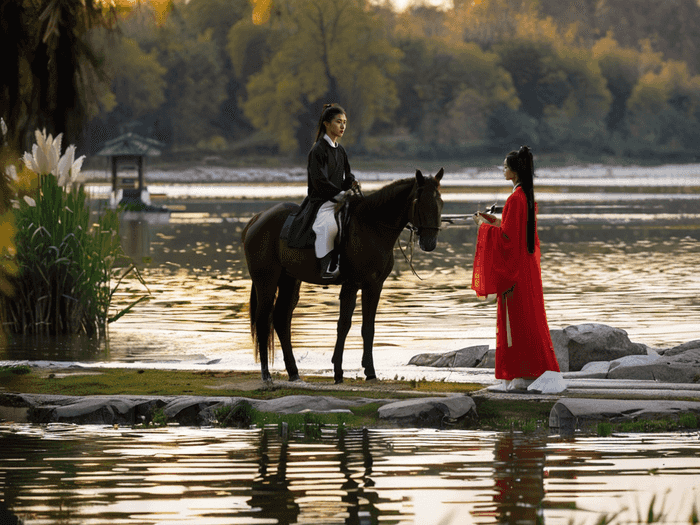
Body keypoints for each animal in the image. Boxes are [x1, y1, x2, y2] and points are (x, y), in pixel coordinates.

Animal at [241, 170, 442, 382]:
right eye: (419, 201)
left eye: (440, 201)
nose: (430, 243)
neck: (371, 226)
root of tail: (257, 218)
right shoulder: (351, 285)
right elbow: (344, 325)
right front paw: (338, 371)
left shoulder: (374, 286)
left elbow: (368, 328)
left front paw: (370, 371)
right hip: (267, 282)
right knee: (263, 320)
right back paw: (266, 374)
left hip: (290, 280)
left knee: (281, 319)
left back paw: (293, 372)